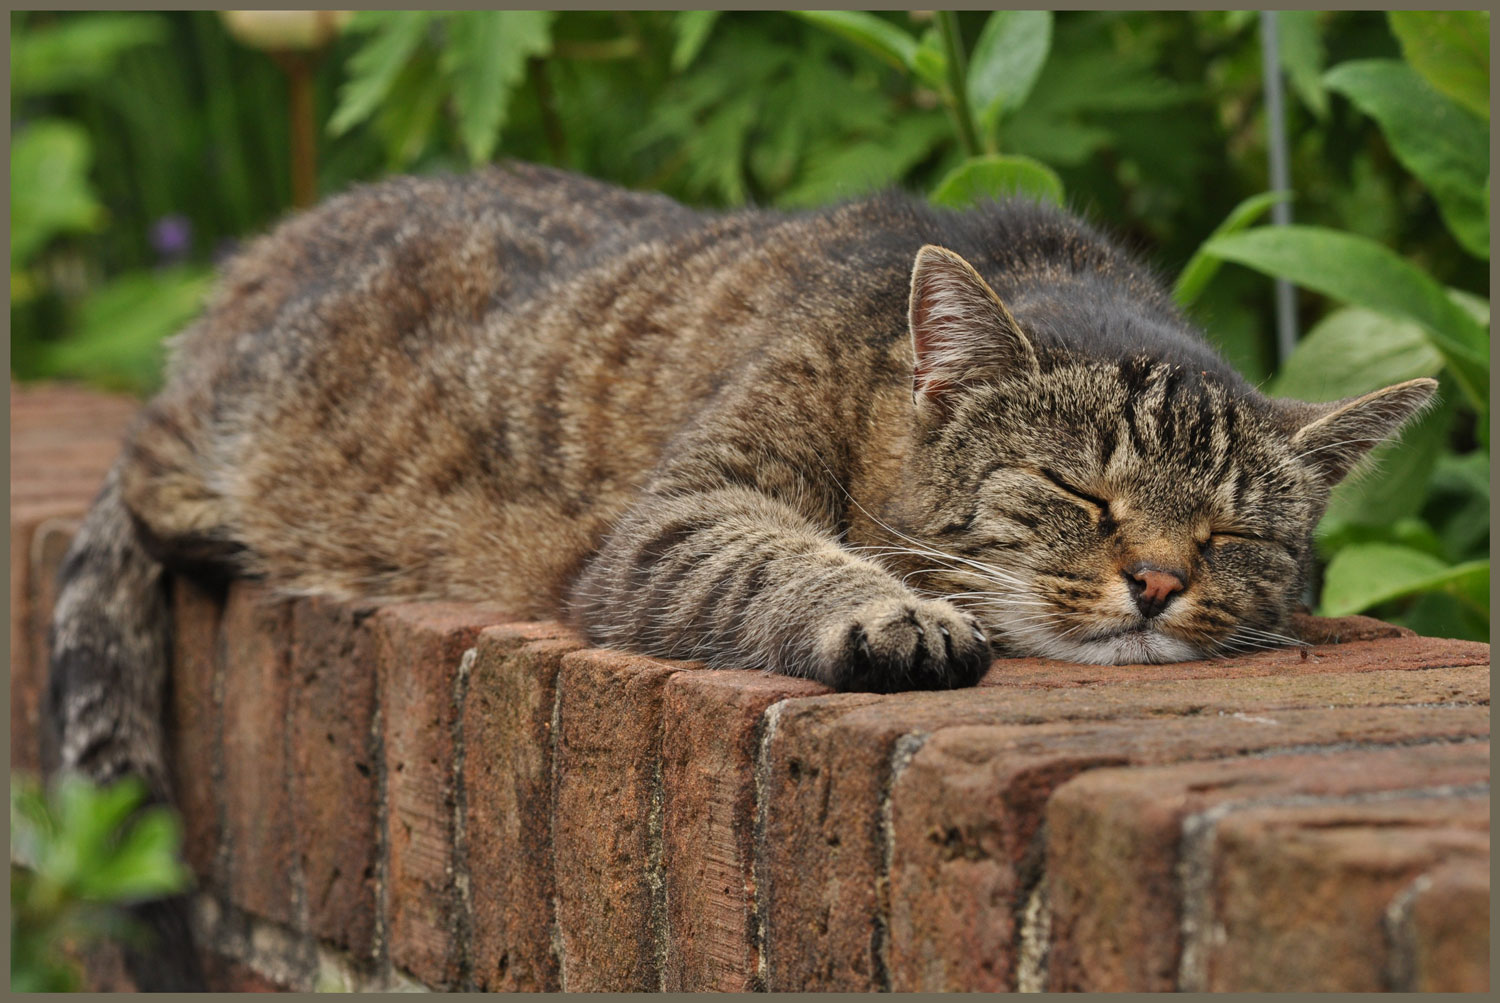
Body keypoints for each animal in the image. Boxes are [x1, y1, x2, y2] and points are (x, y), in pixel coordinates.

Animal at [43, 164, 1428, 983]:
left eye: (1233, 540)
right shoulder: (681, 516)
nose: (1155, 582)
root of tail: (257, 256)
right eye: (1082, 497)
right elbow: (781, 559)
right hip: (240, 433)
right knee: (146, 475)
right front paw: (896, 613)